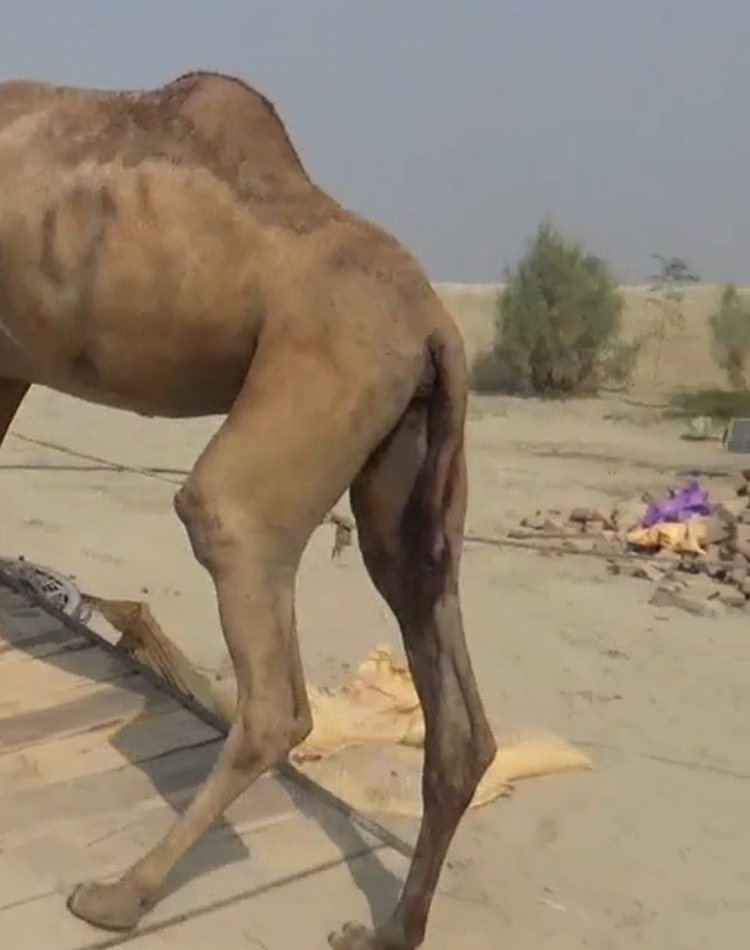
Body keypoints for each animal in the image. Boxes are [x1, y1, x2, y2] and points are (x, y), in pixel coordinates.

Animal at [0, 70, 496, 949]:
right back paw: (388, 930)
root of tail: (439, 329)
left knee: (267, 684)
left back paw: (119, 895)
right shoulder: (7, 358)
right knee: (442, 669)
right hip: (410, 456)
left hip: (311, 388)